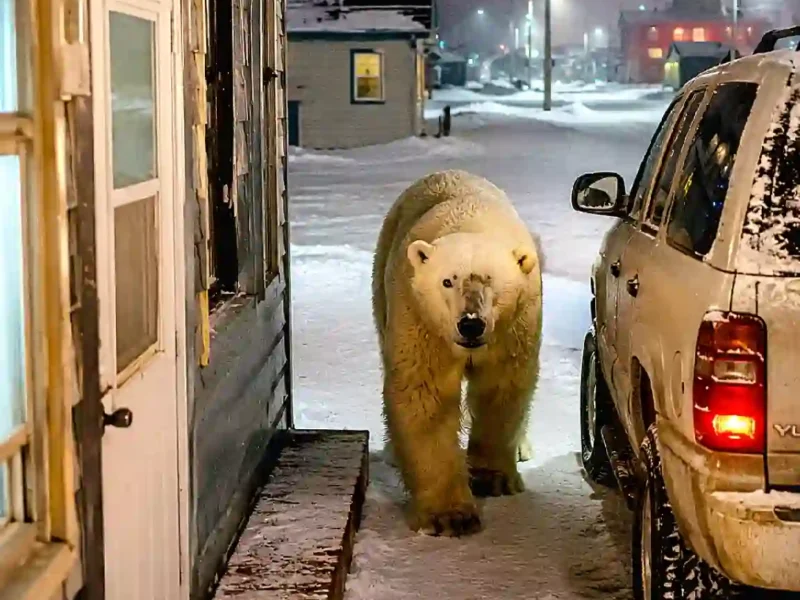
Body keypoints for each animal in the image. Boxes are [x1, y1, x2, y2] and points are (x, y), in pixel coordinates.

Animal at [372, 169, 543, 537]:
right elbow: (425, 394)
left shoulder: (515, 324)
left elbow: (501, 386)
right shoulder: (420, 316)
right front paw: (450, 516)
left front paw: (493, 479)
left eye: (492, 281)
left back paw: (522, 448)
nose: (471, 325)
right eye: (447, 281)